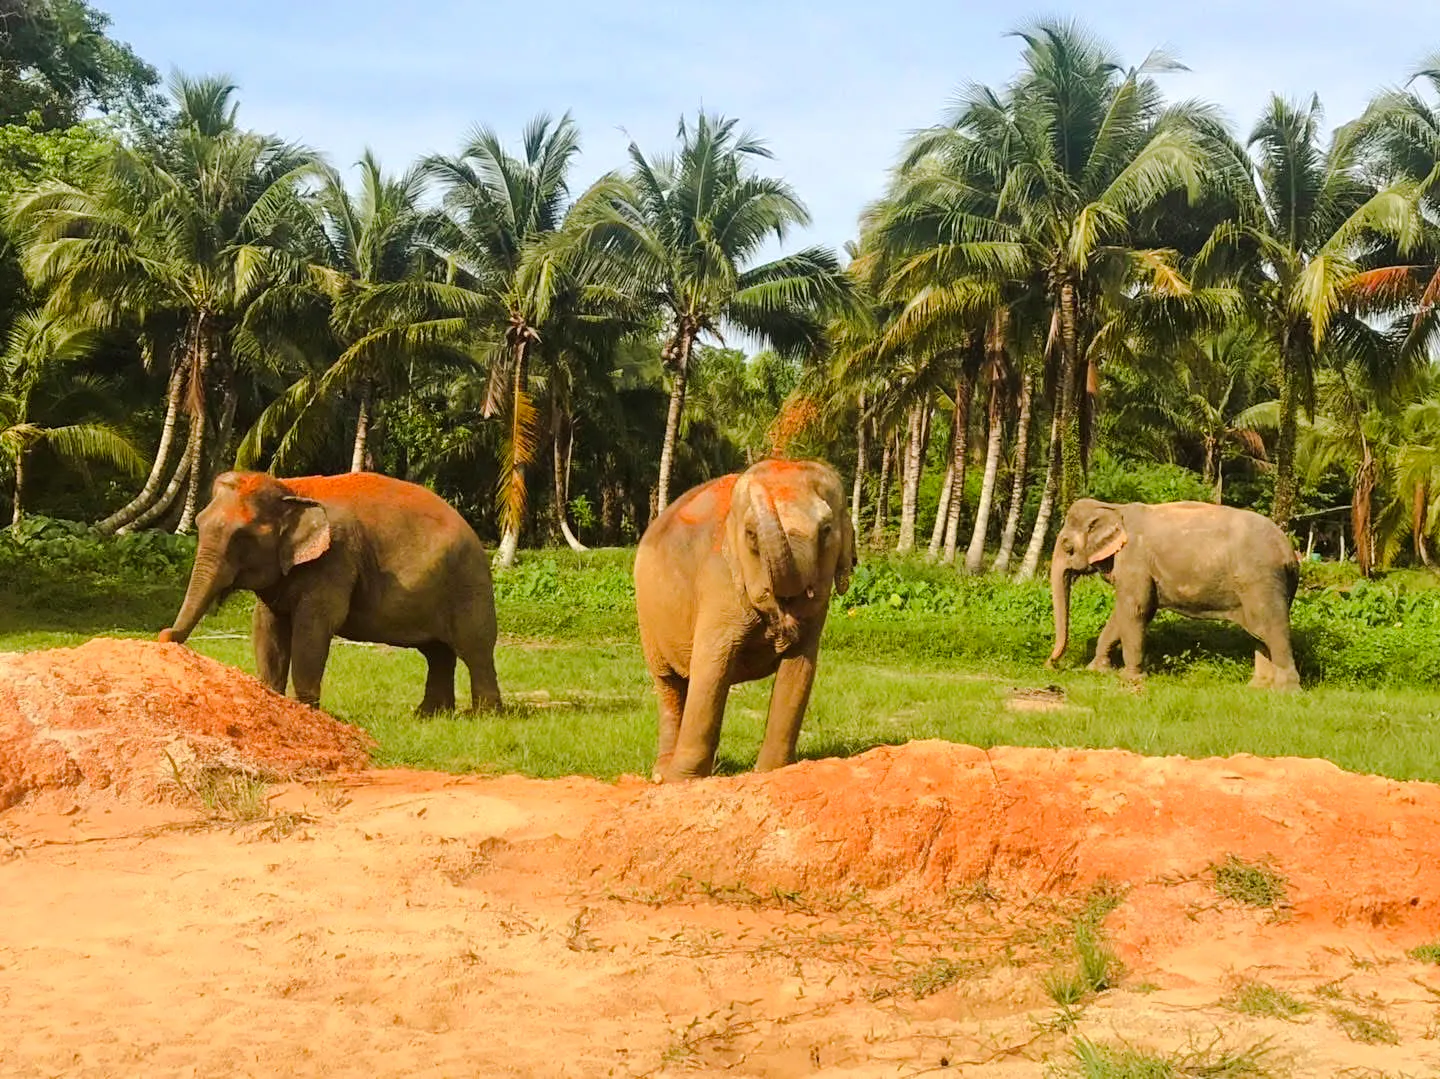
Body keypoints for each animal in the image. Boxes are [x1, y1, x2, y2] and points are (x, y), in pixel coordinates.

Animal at [159, 470, 502, 713]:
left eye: (243, 537)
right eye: (199, 523)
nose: (165, 635)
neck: (291, 489)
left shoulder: (336, 559)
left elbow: (314, 627)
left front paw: (306, 712)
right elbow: (267, 626)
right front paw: (271, 701)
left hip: (468, 584)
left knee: (475, 650)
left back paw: (483, 715)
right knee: (438, 653)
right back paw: (429, 715)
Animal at [634, 458, 856, 782]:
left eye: (826, 530)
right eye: (751, 534)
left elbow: (799, 669)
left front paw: (770, 773)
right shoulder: (719, 581)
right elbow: (711, 665)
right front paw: (682, 781)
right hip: (648, 618)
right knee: (669, 684)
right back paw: (662, 774)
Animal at [1047, 498, 1300, 688]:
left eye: (1068, 546)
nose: (1051, 665)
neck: (1114, 507)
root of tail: (1288, 550)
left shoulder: (1134, 560)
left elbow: (1135, 610)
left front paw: (1130, 679)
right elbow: (1124, 614)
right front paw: (1096, 670)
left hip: (1262, 581)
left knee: (1272, 629)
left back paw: (1285, 692)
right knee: (1260, 635)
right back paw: (1258, 688)